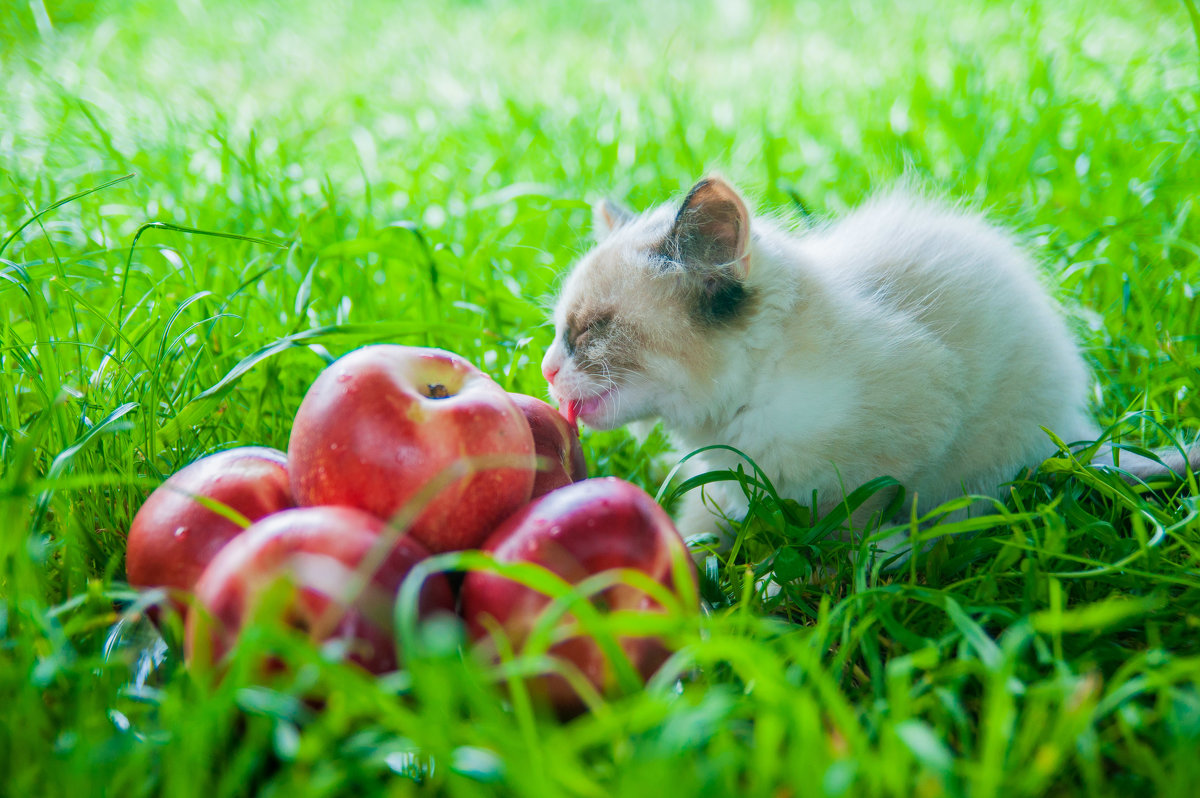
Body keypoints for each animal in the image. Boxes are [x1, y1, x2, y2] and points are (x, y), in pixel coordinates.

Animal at [544, 176, 1200, 552]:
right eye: (560, 331)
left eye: (591, 331)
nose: (547, 370)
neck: (730, 421)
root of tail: (1077, 433)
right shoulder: (719, 486)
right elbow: (692, 531)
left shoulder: (897, 451)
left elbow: (839, 541)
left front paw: (791, 583)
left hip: (981, 470)